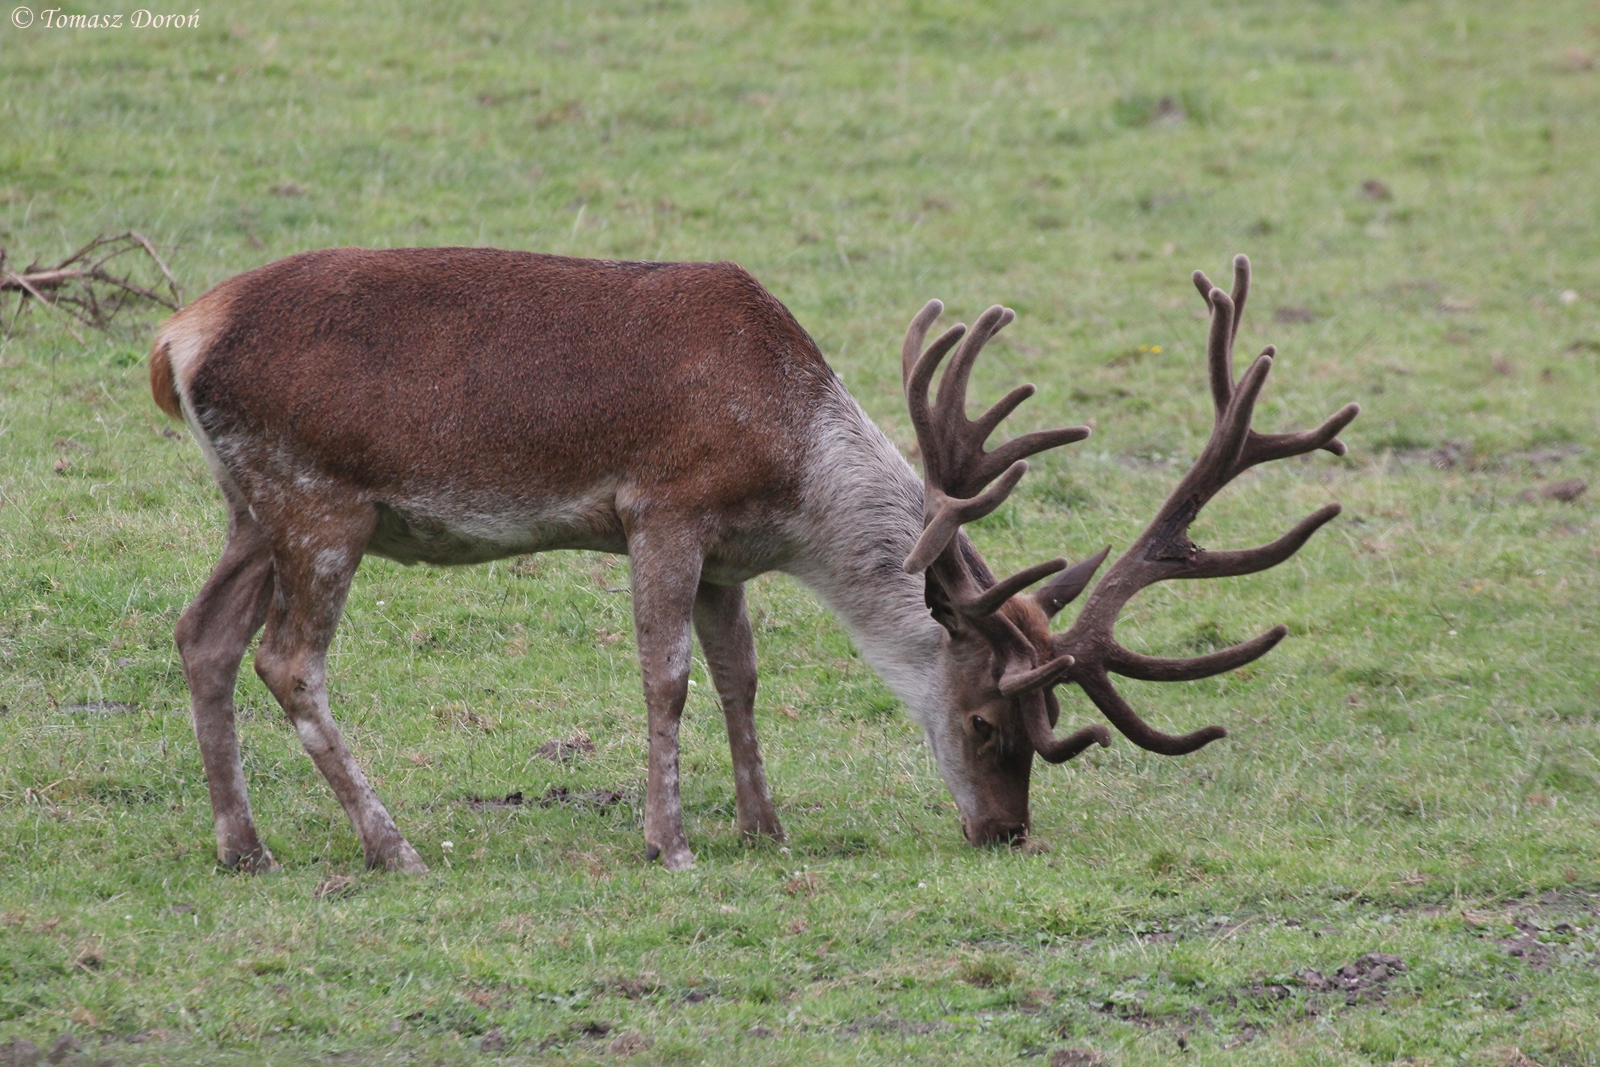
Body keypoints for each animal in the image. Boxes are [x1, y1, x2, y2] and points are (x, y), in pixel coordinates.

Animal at [149, 247, 1357, 873]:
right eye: (986, 724)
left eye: (1049, 726)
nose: (1005, 831)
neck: (792, 467)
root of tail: (173, 338)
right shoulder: (663, 504)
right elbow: (667, 676)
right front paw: (669, 841)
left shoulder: (730, 555)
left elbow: (740, 676)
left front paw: (764, 829)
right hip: (320, 499)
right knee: (289, 660)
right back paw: (392, 844)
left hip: (251, 506)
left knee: (201, 633)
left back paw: (244, 846)